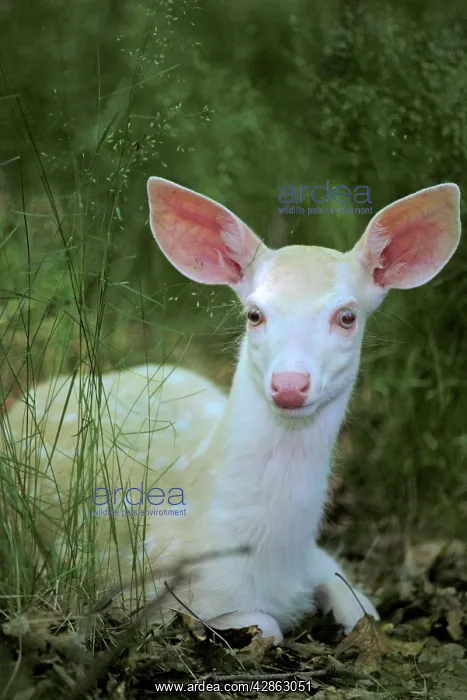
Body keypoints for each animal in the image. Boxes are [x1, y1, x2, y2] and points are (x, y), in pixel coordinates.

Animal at [2, 178, 461, 645]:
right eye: (254, 314)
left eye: (347, 316)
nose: (289, 384)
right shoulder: (149, 591)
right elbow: (267, 626)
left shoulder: (320, 559)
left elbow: (364, 610)